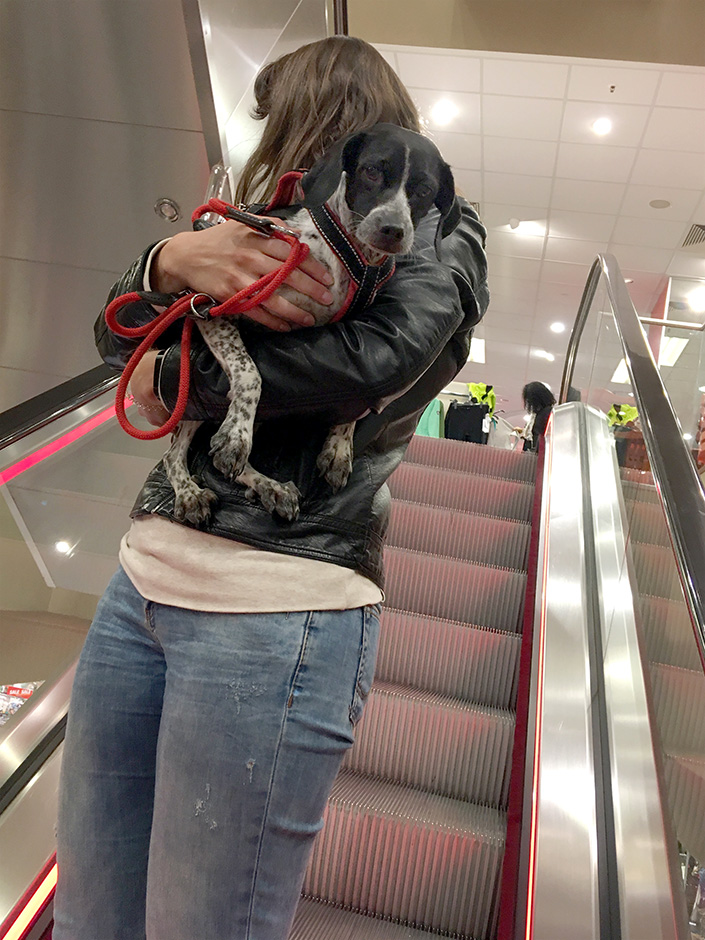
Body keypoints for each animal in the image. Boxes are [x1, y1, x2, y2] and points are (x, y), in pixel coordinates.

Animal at [162, 120, 460, 520]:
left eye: (425, 189)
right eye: (371, 170)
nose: (393, 230)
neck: (349, 255)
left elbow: (356, 401)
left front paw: (338, 447)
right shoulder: (212, 306)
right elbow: (250, 373)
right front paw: (236, 437)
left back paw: (269, 486)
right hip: (191, 398)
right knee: (174, 454)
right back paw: (191, 491)